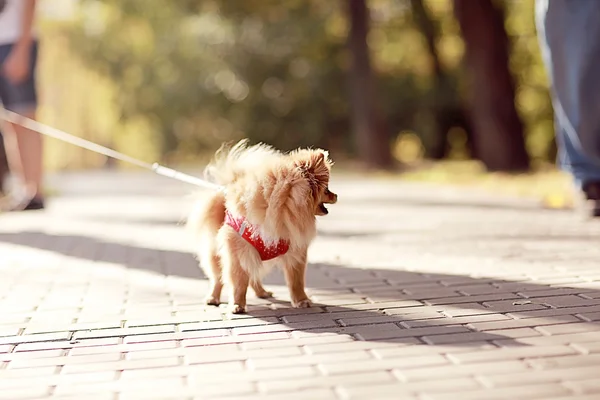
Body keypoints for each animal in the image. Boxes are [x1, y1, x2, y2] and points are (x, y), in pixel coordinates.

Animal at [188, 139, 338, 314]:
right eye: (326, 189)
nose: (336, 195)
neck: (281, 208)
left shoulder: (296, 252)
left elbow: (296, 281)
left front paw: (301, 300)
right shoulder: (238, 253)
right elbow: (238, 283)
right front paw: (237, 305)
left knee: (254, 277)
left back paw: (262, 292)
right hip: (219, 254)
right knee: (218, 278)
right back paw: (213, 297)